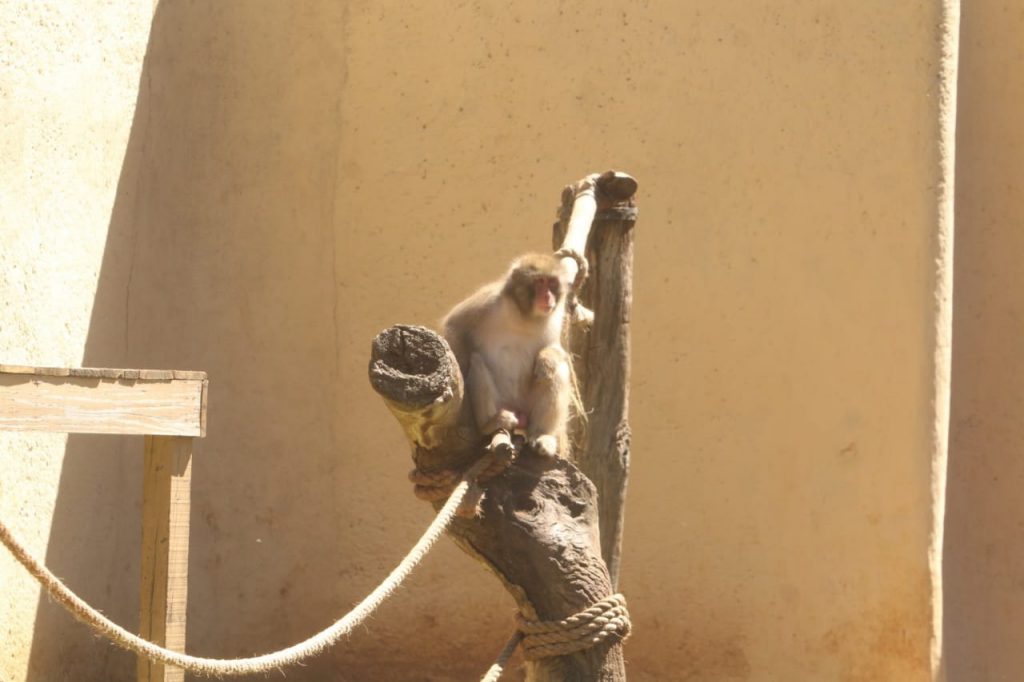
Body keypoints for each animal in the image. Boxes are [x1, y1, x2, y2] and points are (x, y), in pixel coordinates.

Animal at [442, 253, 576, 458]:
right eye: (540, 281)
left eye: (552, 283)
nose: (548, 296)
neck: (525, 317)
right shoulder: (488, 301)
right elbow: (454, 326)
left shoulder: (555, 318)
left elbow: (555, 350)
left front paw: (546, 360)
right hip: (502, 402)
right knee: (477, 362)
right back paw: (490, 424)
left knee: (557, 371)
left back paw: (542, 435)